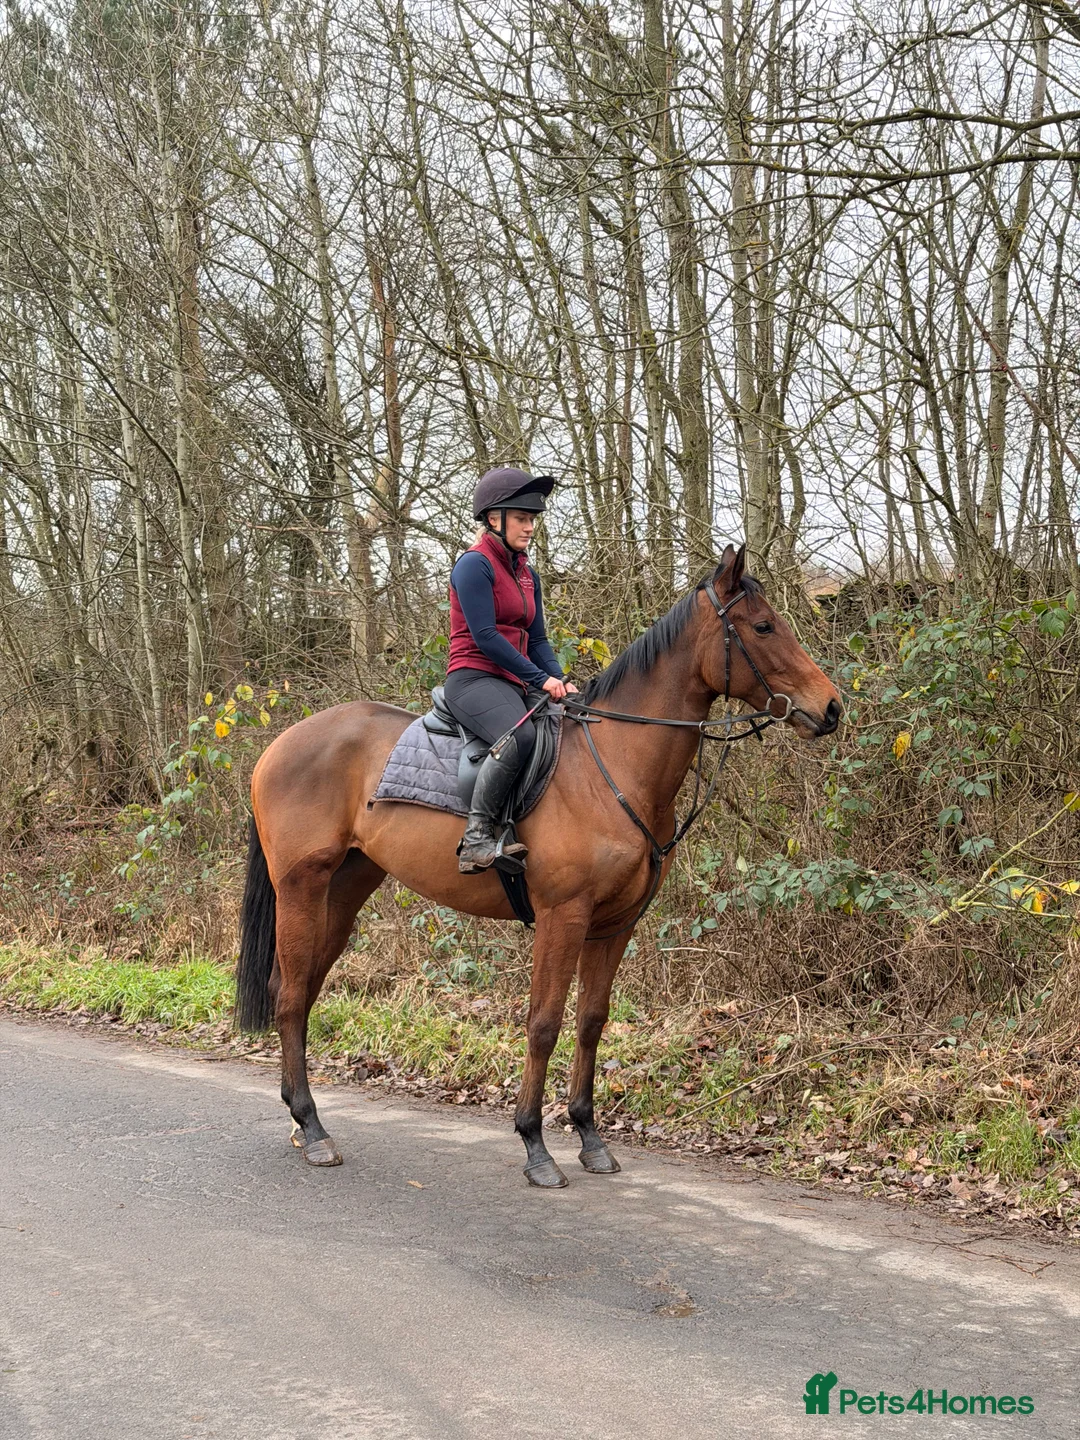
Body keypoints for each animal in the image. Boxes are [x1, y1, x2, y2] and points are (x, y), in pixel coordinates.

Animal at [235, 544, 843, 1187]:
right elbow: (545, 1022)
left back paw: (301, 1120)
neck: (615, 765)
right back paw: (313, 1128)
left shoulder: (614, 925)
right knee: (290, 996)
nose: (830, 708)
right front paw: (535, 1143)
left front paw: (590, 1136)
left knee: (300, 990)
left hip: (344, 892)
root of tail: (281, 744)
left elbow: (591, 1020)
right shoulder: (563, 916)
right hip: (301, 889)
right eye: (763, 626)